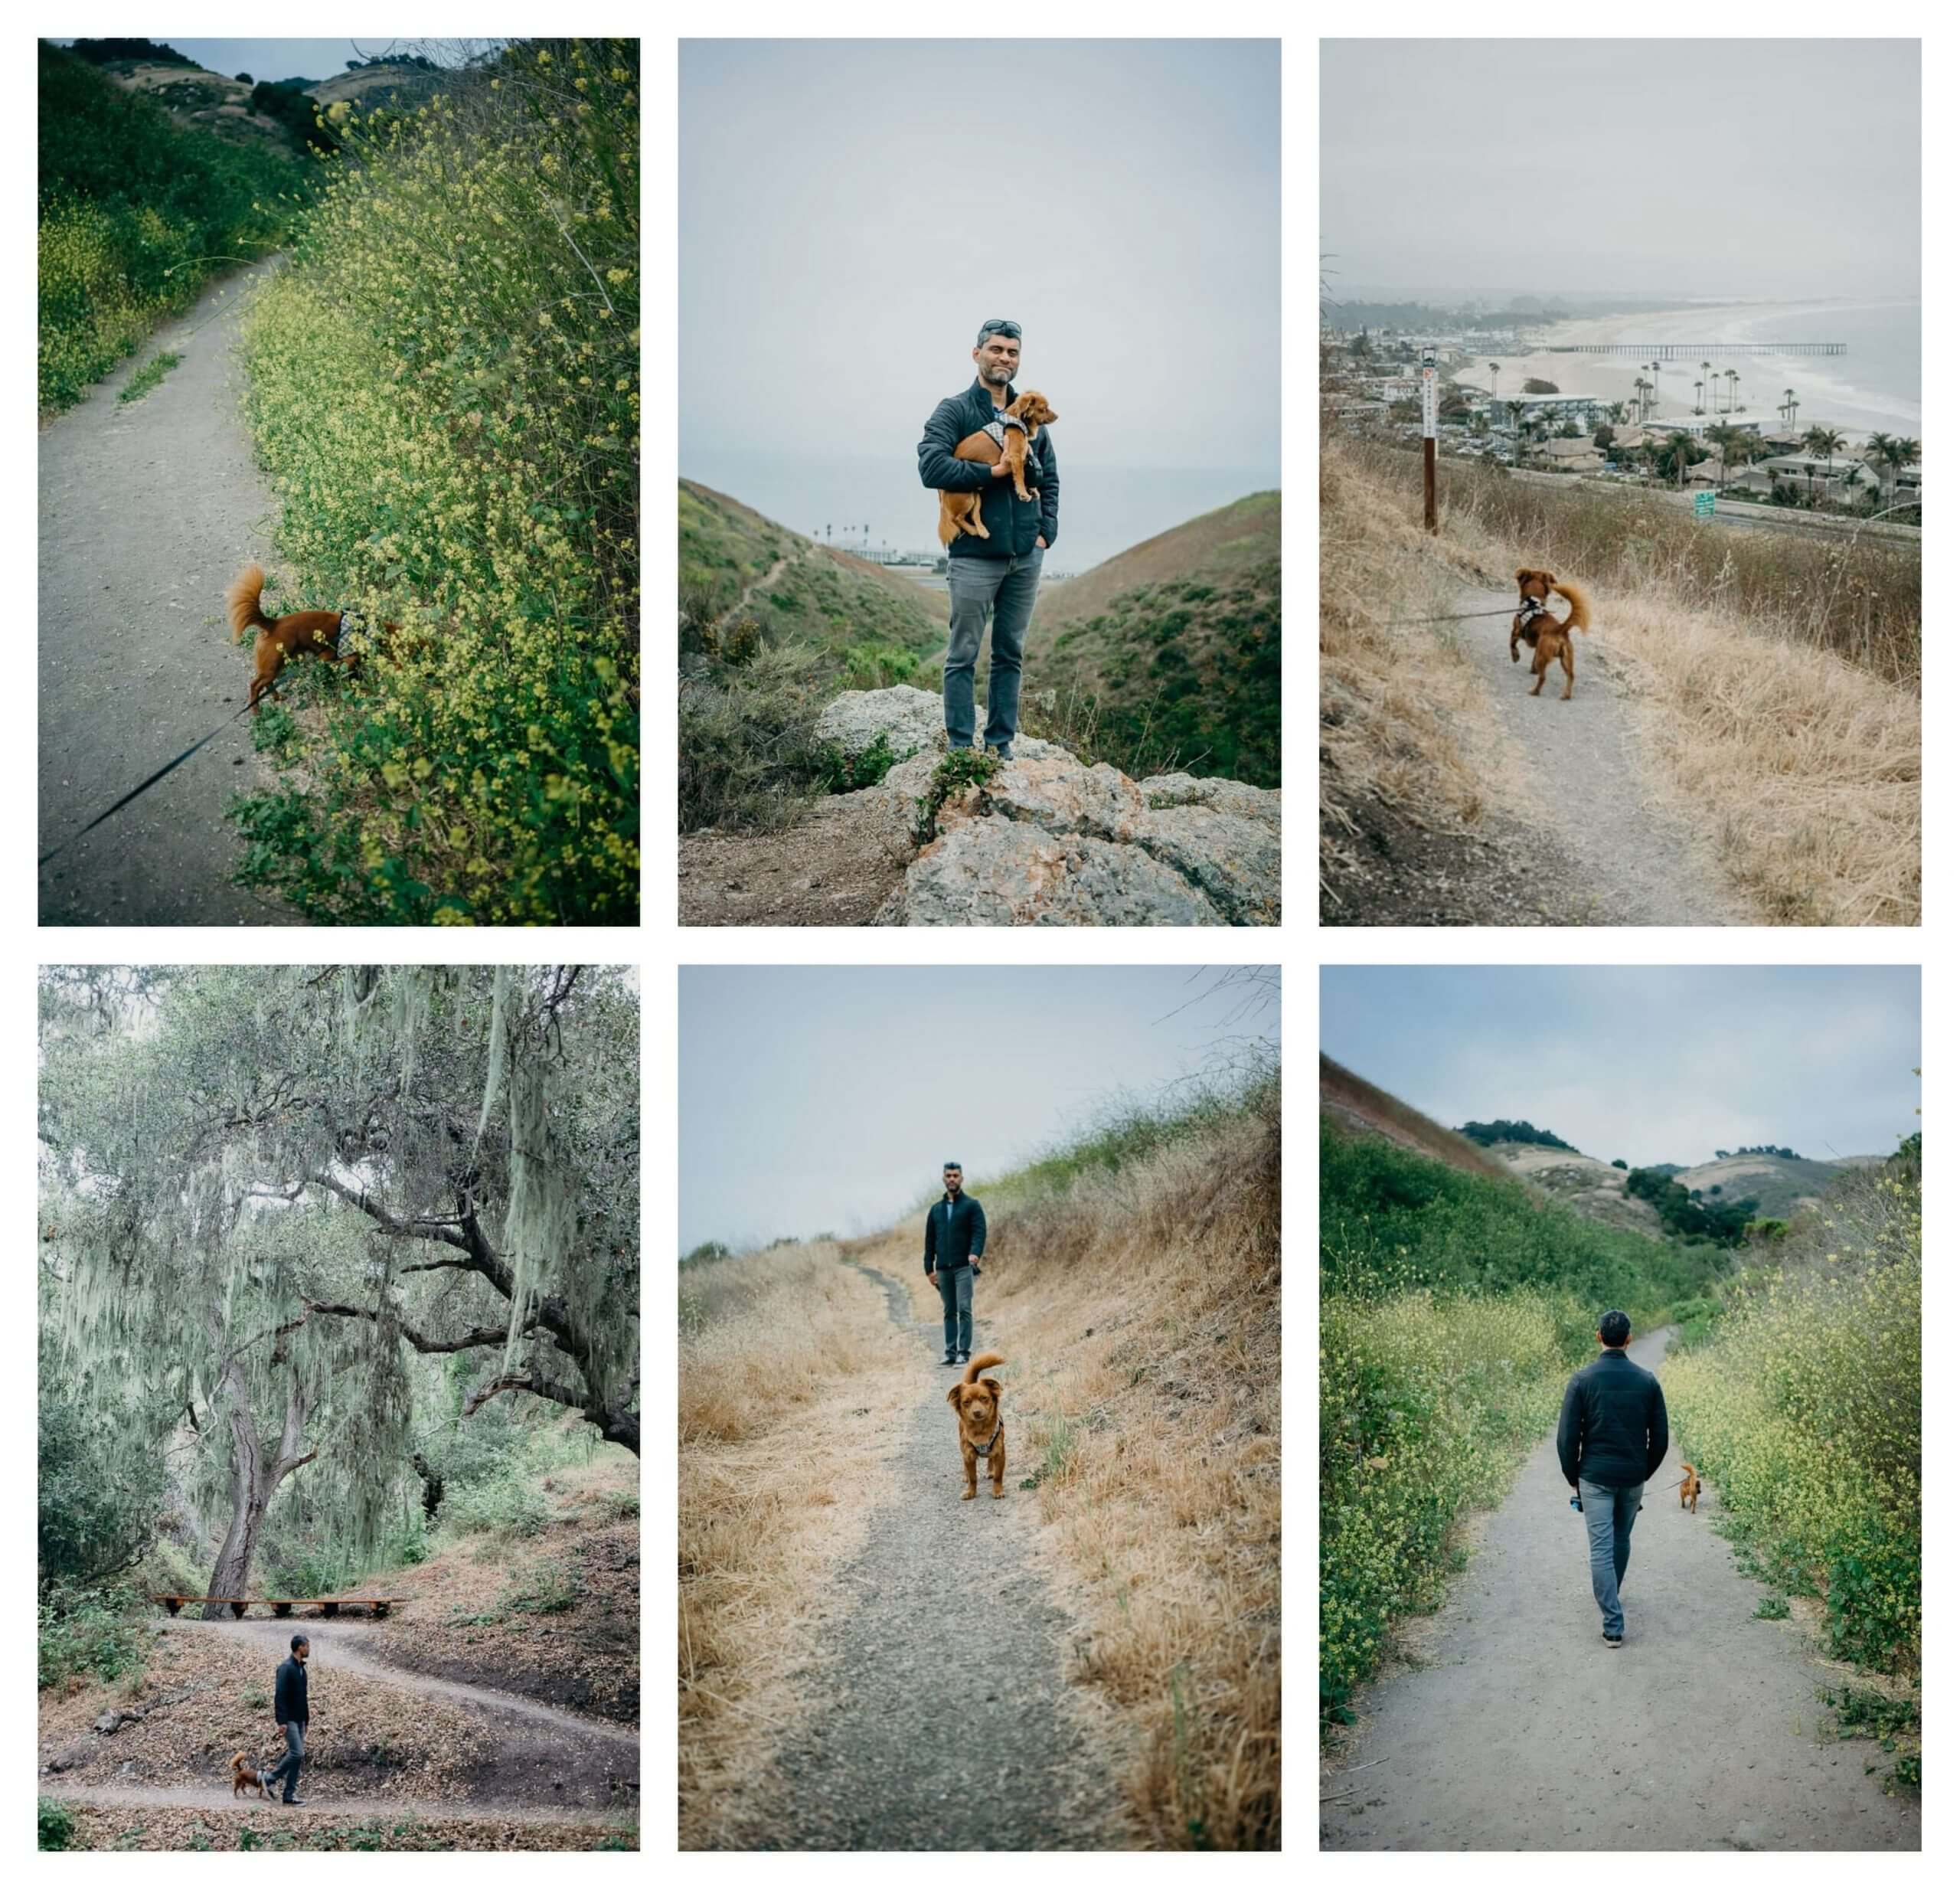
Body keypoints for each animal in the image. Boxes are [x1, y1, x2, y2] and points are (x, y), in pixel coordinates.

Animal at [949, 1349, 1011, 1497]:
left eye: (984, 1398)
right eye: (966, 1402)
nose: (977, 1412)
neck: (980, 1429)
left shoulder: (1000, 1453)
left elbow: (998, 1476)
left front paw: (997, 1491)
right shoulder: (969, 1454)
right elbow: (973, 1478)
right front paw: (970, 1493)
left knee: (990, 1459)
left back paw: (990, 1471)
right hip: (962, 1447)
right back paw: (965, 1475)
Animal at [1513, 572, 1591, 705]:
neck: (1533, 602)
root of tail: (1560, 629)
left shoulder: (1516, 631)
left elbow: (1512, 645)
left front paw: (1515, 657)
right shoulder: (1537, 646)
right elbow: (1532, 659)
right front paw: (1533, 669)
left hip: (1543, 656)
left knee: (1543, 677)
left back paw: (1535, 691)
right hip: (1565, 659)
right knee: (1571, 676)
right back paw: (1566, 695)